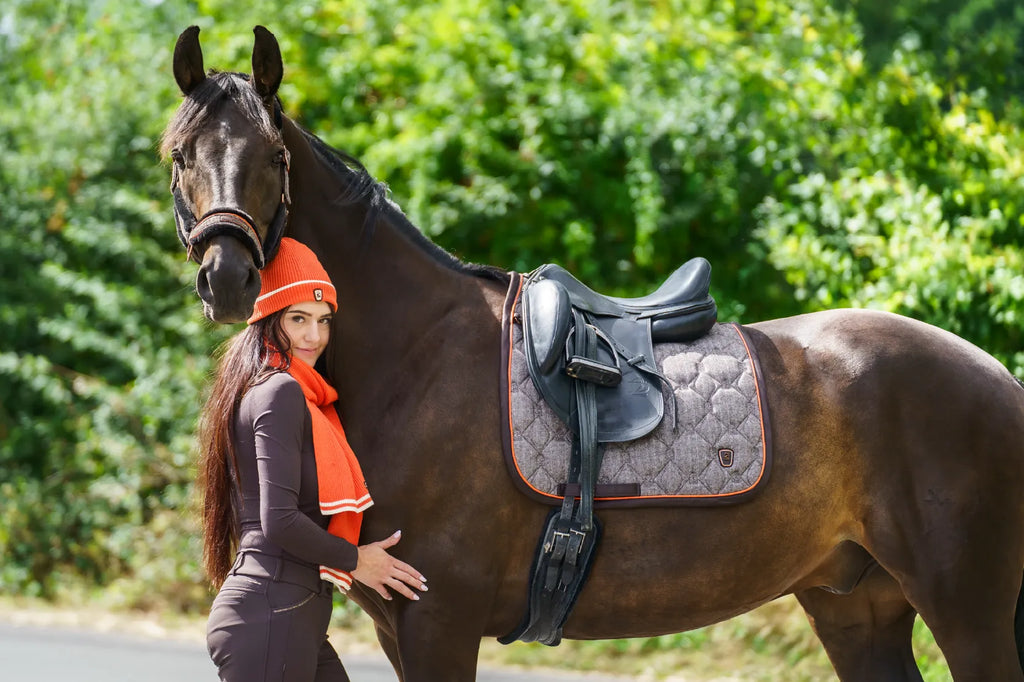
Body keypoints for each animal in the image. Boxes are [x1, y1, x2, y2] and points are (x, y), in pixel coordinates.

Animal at [162, 25, 1024, 681]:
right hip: (858, 607)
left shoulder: (439, 621)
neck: (416, 358)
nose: (227, 277)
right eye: (180, 155)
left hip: (967, 613)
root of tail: (999, 379)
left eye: (274, 158)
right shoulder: (397, 628)